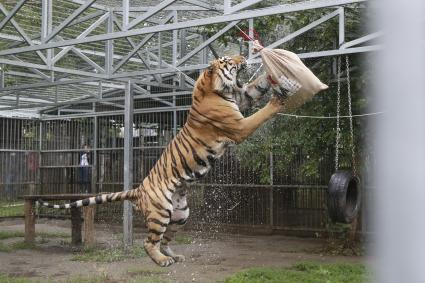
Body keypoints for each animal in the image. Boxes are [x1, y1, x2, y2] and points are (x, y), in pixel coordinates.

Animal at [37, 54, 302, 268]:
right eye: (228, 60)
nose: (243, 56)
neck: (214, 89)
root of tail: (138, 189)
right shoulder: (239, 126)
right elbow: (260, 115)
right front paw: (277, 101)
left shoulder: (242, 97)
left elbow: (254, 88)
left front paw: (273, 73)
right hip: (160, 212)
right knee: (147, 242)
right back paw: (162, 261)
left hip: (180, 213)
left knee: (163, 240)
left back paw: (174, 256)